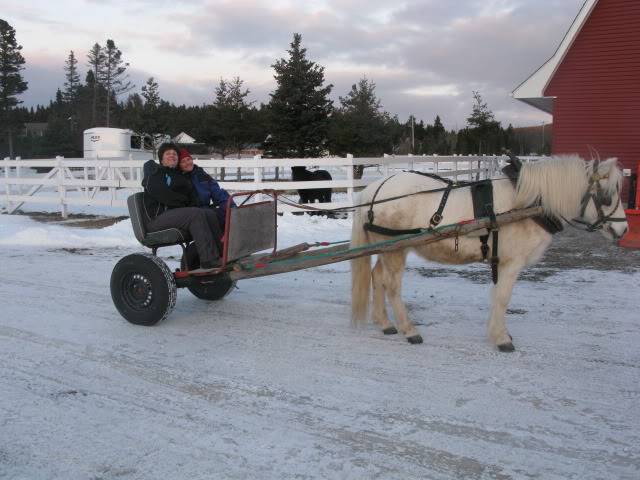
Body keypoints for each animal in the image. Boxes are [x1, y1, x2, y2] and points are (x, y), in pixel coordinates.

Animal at [352, 156, 628, 350]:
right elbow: (503, 298)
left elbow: (496, 297)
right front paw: (502, 338)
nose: (623, 229)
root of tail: (374, 189)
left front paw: (496, 332)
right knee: (392, 286)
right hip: (395, 251)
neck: (528, 202)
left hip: (387, 249)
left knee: (378, 278)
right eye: (606, 196)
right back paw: (409, 330)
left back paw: (385, 323)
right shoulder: (512, 263)